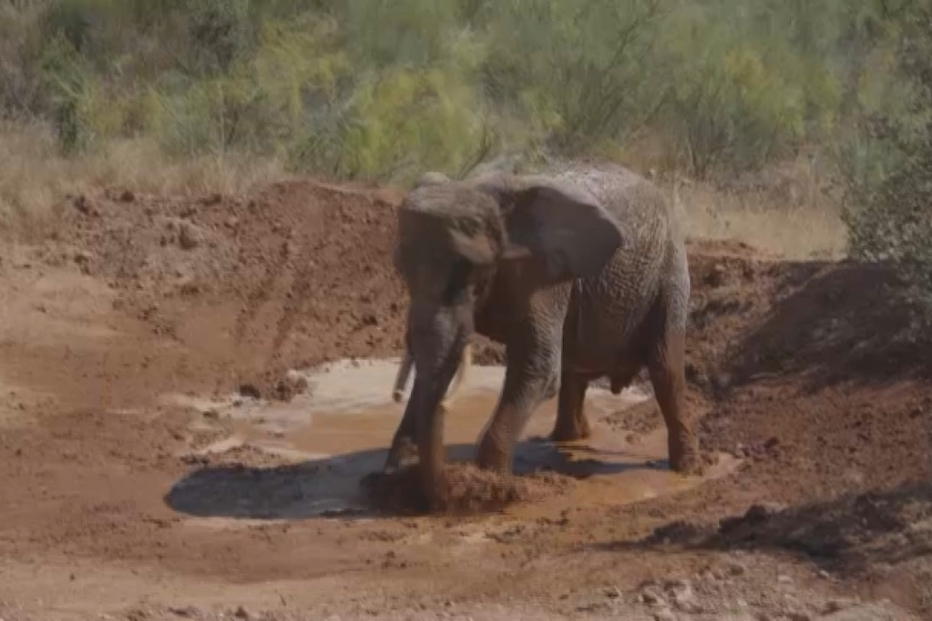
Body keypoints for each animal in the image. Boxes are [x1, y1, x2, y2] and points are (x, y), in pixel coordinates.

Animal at [386, 162, 699, 508]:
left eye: (474, 275)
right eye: (401, 268)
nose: (437, 496)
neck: (480, 188)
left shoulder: (543, 279)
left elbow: (537, 369)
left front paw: (490, 487)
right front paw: (397, 469)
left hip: (670, 274)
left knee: (666, 370)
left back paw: (687, 468)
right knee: (576, 369)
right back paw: (567, 439)